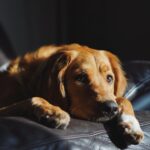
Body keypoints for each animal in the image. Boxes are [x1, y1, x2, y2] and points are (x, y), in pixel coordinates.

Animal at [0, 44, 144, 145]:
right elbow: (34, 98)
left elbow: (124, 100)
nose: (111, 108)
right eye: (81, 78)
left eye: (109, 78)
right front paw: (53, 112)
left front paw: (131, 125)